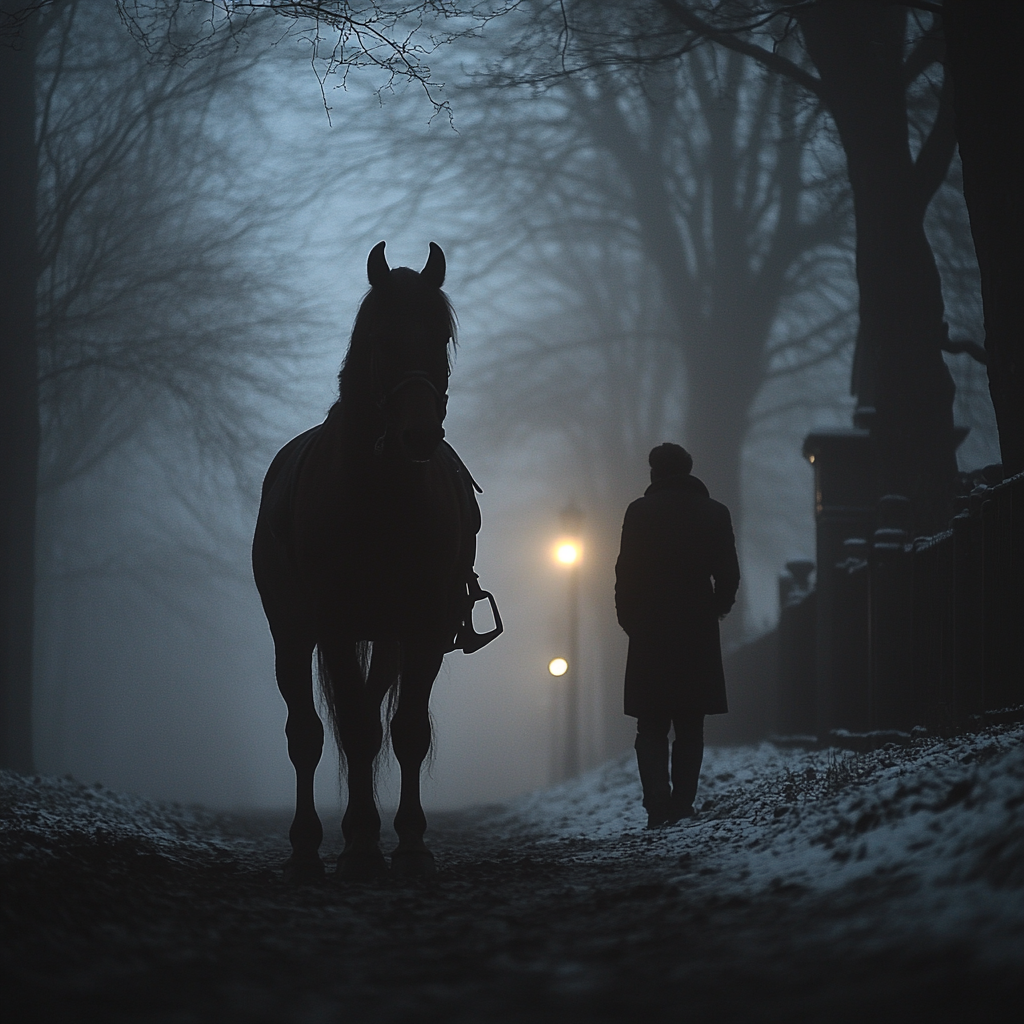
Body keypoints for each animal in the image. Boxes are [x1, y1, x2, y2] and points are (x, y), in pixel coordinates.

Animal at [251, 239, 499, 880]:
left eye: (440, 337)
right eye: (383, 340)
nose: (420, 435)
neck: (383, 497)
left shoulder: (425, 627)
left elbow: (404, 730)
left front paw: (410, 844)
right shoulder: (334, 625)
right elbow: (352, 732)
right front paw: (361, 845)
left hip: (386, 640)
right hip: (293, 636)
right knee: (308, 734)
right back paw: (308, 846)